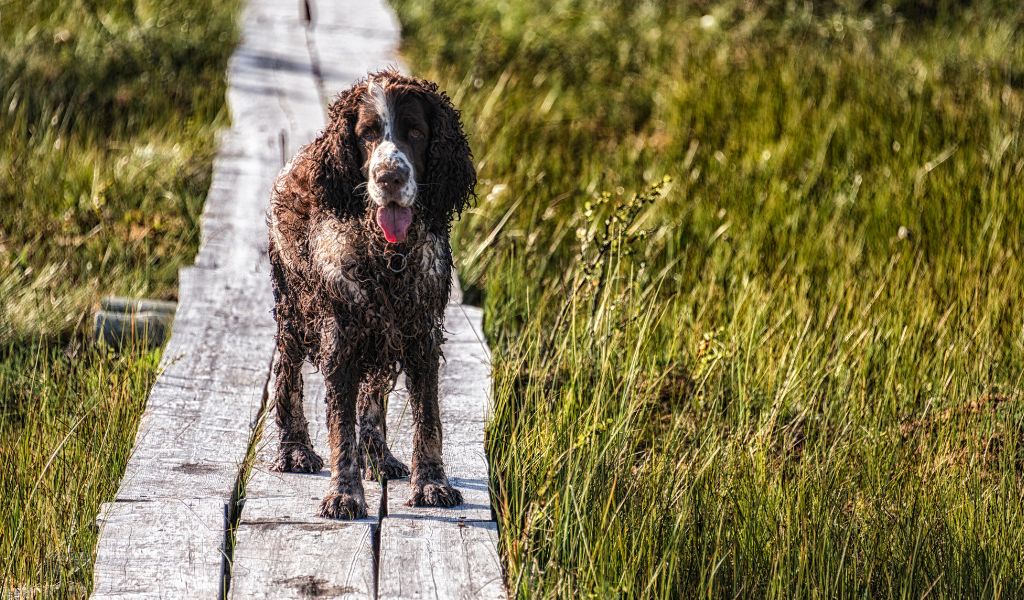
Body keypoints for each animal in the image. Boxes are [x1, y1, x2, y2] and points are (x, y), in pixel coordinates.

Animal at [264, 70, 471, 516]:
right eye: (367, 134)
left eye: (416, 132)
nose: (389, 178)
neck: (388, 257)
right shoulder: (340, 336)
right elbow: (340, 424)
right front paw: (344, 493)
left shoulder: (420, 334)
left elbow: (427, 418)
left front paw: (431, 483)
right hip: (294, 310)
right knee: (287, 375)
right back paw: (295, 450)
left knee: (372, 395)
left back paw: (379, 456)